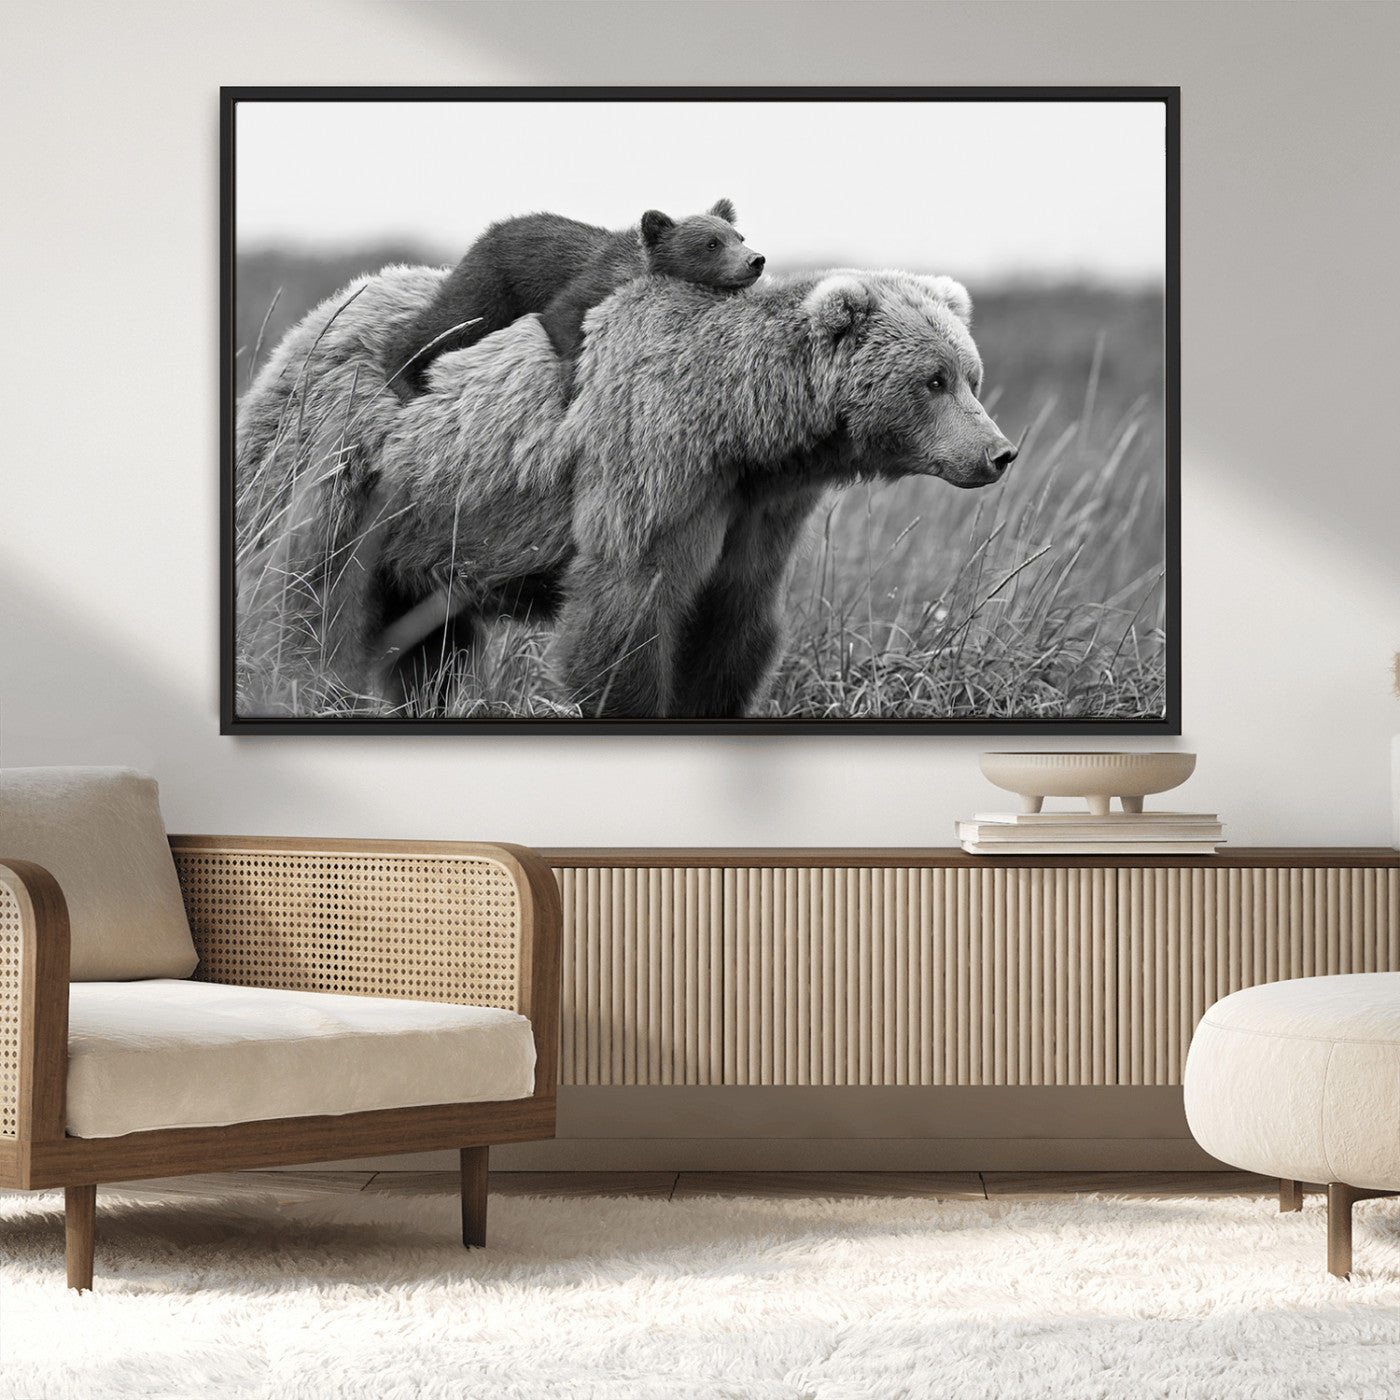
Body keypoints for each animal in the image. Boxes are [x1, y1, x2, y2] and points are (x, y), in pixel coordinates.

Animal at [234, 263, 1017, 720]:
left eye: (970, 374)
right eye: (934, 380)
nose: (998, 452)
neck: (744, 427)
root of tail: (315, 318)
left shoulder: (757, 509)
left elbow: (733, 622)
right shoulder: (653, 462)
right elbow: (626, 608)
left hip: (427, 527)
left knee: (431, 646)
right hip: (340, 466)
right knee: (306, 596)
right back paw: (299, 687)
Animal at [380, 199, 764, 400]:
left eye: (739, 236)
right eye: (711, 243)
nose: (755, 260)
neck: (637, 268)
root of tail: (489, 231)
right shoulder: (592, 281)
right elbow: (562, 315)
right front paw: (571, 383)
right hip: (492, 283)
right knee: (450, 320)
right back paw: (403, 376)